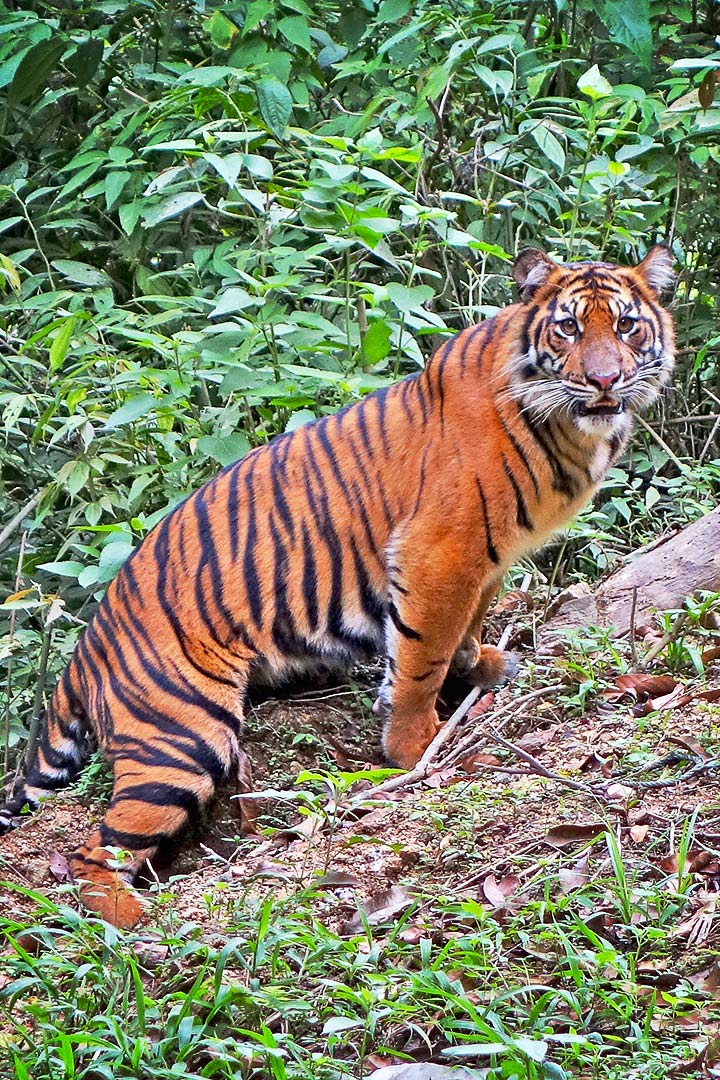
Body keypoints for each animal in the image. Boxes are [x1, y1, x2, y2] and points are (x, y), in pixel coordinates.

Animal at [0, 245, 675, 927]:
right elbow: (422, 654)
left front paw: (481, 665)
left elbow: (467, 624)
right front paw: (415, 747)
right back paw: (139, 923)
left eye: (626, 327)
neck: (568, 428)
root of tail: (88, 644)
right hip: (182, 737)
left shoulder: (487, 559)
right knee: (92, 858)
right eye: (567, 328)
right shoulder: (440, 552)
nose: (605, 381)